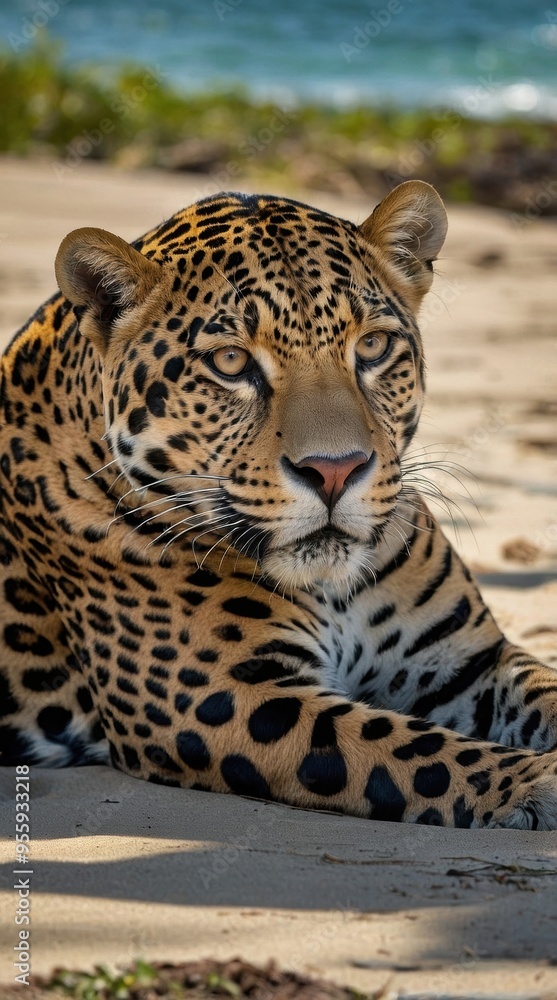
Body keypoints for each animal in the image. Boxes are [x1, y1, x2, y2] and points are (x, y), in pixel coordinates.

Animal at [1, 180, 556, 830]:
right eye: (231, 362)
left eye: (372, 346)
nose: (335, 470)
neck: (335, 587)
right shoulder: (230, 697)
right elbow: (415, 751)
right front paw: (538, 781)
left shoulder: (466, 662)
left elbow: (543, 688)